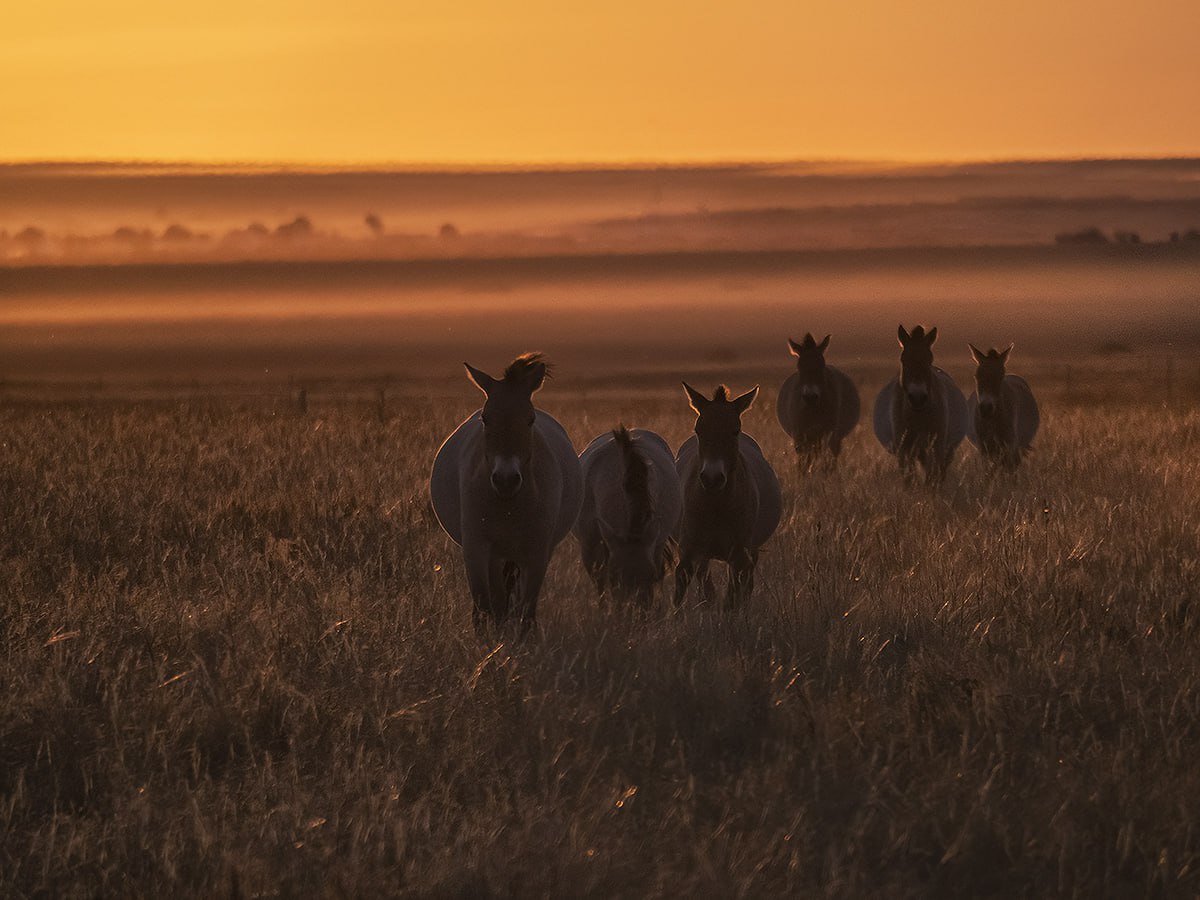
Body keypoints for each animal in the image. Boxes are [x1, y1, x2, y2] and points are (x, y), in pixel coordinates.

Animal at [429, 352, 583, 633]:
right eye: (485, 418)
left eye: (530, 419)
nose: (506, 479)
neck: (508, 504)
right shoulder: (478, 549)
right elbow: (486, 604)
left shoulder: (536, 553)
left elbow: (526, 611)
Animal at [573, 427, 681, 609]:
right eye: (614, 575)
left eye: (651, 574)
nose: (636, 611)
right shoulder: (590, 545)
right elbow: (600, 583)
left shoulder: (655, 543)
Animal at [676, 381, 777, 607]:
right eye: (698, 429)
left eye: (735, 430)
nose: (712, 478)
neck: (716, 506)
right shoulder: (688, 552)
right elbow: (679, 594)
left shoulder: (740, 557)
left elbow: (732, 601)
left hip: (748, 555)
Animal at [777, 333, 864, 472]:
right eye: (799, 367)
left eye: (822, 366)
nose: (810, 397)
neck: (813, 410)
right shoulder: (800, 435)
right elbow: (803, 462)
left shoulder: (829, 433)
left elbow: (826, 461)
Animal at [878, 326, 969, 487]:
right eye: (903, 360)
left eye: (929, 360)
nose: (917, 398)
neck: (917, 417)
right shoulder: (904, 450)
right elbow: (909, 480)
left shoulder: (935, 447)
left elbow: (931, 479)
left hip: (945, 451)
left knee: (939, 473)